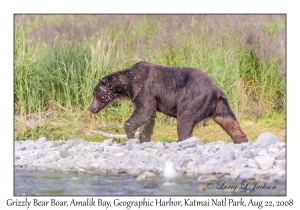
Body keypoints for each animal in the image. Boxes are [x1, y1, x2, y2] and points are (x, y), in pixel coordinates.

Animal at [88, 61, 248, 144]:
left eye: (94, 94)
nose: (90, 108)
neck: (127, 84)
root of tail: (217, 91)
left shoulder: (143, 87)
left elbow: (145, 109)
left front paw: (130, 132)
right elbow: (148, 117)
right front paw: (143, 137)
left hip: (193, 100)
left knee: (184, 122)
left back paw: (182, 140)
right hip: (222, 107)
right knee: (230, 122)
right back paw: (241, 139)